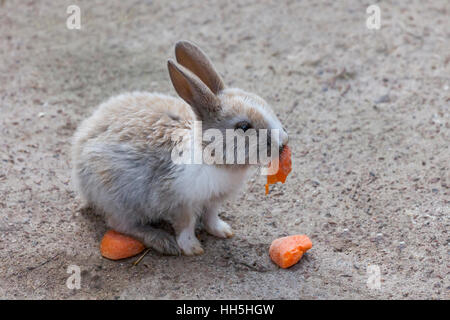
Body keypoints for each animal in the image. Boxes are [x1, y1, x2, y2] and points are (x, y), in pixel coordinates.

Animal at [70, 40, 288, 255]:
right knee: (120, 224)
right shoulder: (180, 202)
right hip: (119, 200)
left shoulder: (213, 200)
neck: (209, 152)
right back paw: (162, 241)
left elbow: (211, 217)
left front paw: (223, 231)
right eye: (243, 127)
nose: (283, 144)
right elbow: (185, 226)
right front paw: (192, 248)